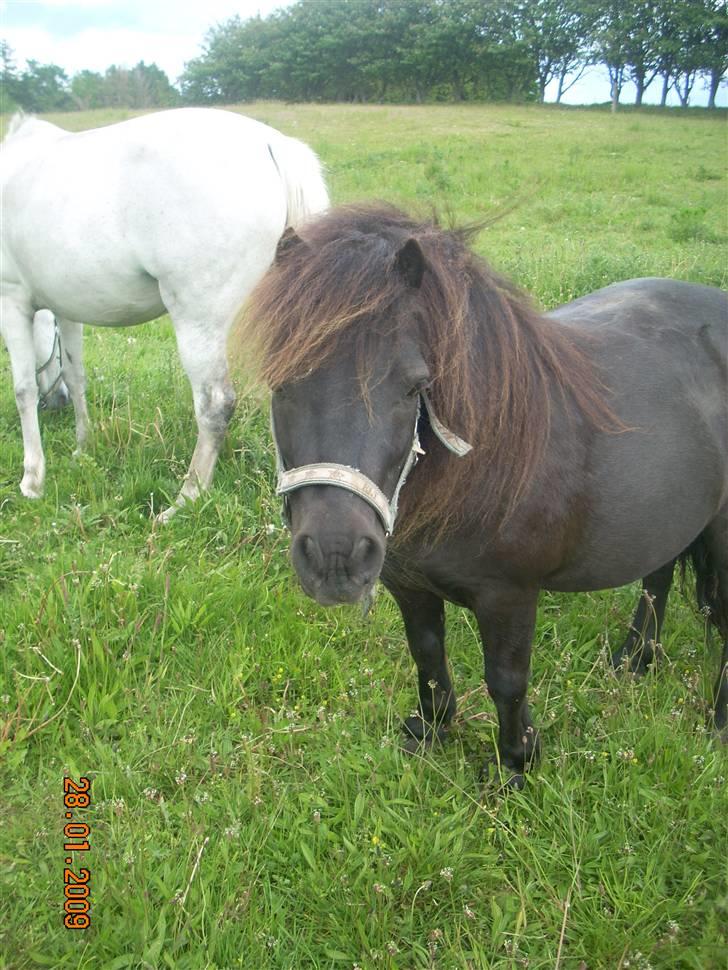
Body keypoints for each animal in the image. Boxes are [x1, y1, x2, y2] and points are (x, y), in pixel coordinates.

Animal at [0, 107, 329, 520]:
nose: (54, 404)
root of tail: (272, 145)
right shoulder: (67, 308)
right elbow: (76, 376)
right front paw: (82, 445)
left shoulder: (11, 302)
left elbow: (23, 389)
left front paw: (32, 479)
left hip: (198, 323)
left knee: (214, 405)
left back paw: (186, 499)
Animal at [237, 203, 728, 787]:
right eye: (280, 382)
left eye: (414, 385)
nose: (336, 557)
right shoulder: (409, 584)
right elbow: (427, 655)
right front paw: (431, 730)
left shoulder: (510, 596)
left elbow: (506, 680)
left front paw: (515, 763)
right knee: (658, 576)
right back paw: (633, 661)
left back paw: (719, 718)